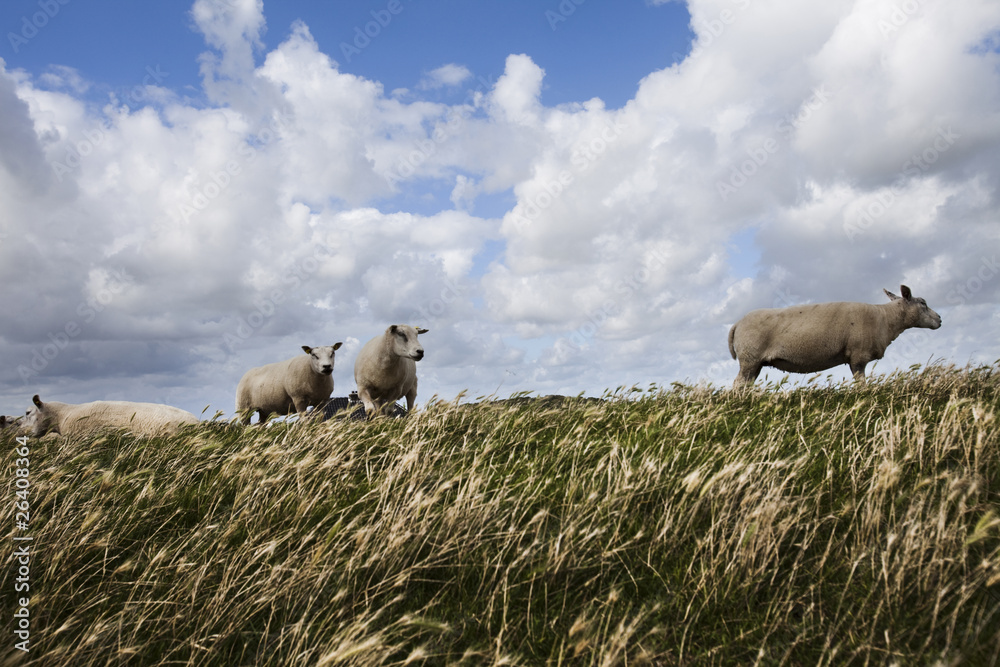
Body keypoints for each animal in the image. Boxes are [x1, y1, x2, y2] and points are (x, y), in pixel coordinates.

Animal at [728, 285, 942, 388]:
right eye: (923, 303)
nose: (939, 319)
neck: (886, 319)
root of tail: (737, 324)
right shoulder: (858, 356)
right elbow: (862, 386)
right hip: (750, 358)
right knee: (737, 386)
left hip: (755, 363)